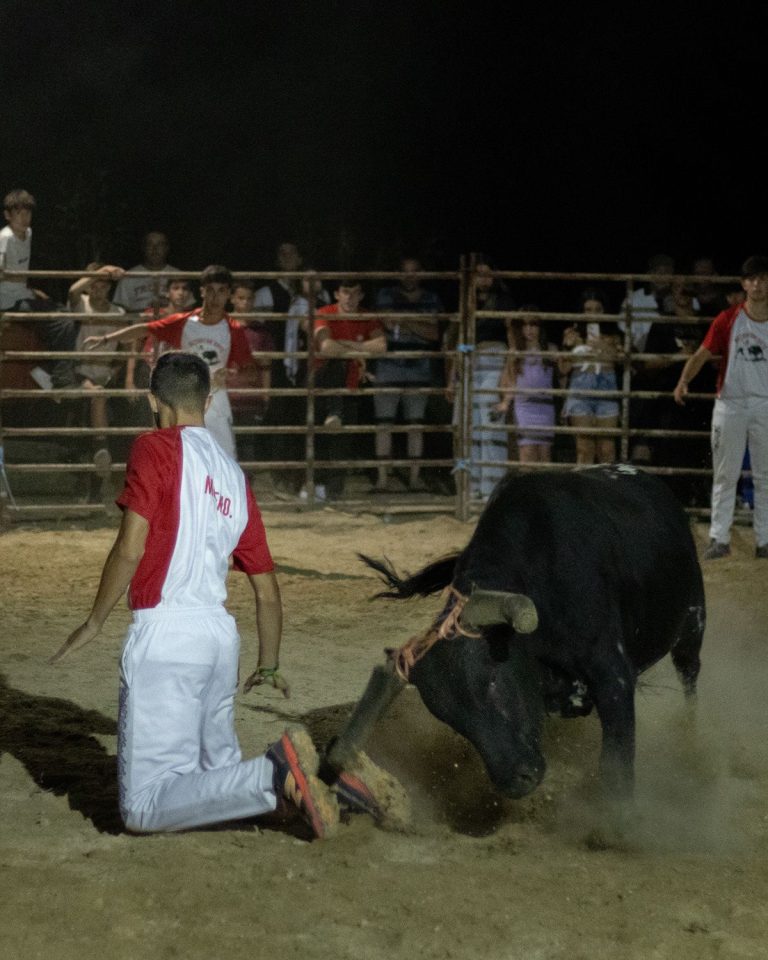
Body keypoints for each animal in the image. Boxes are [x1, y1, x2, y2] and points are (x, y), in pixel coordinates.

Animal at [328, 468, 704, 800]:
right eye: (448, 715)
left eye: (493, 680)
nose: (516, 781)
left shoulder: (613, 676)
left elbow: (616, 766)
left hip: (692, 626)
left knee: (689, 678)